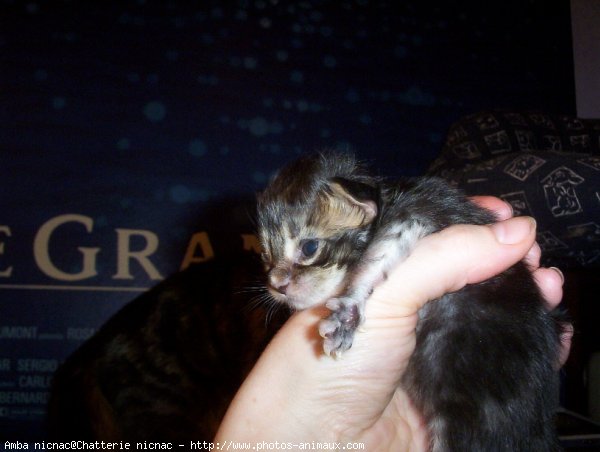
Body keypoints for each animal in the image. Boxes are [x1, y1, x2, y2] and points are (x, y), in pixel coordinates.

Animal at [256, 154, 564, 450]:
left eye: (309, 248)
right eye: (266, 257)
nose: (277, 285)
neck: (389, 199)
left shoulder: (413, 217)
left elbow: (379, 256)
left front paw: (348, 311)